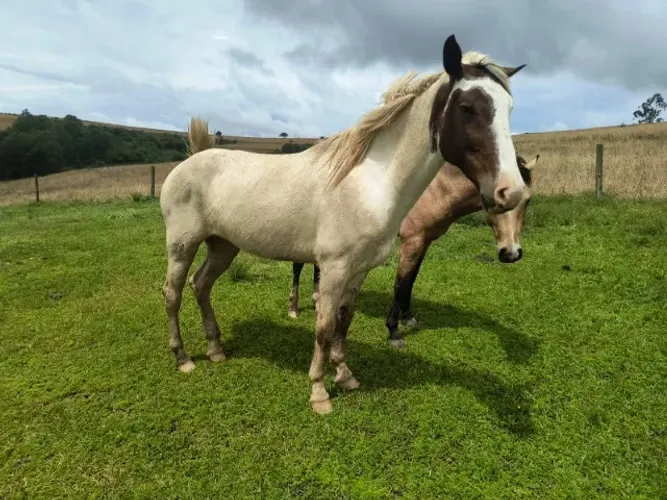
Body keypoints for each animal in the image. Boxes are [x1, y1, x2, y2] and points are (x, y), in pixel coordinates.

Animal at [288, 154, 540, 349]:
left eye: (528, 200)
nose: (511, 253)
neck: (436, 189)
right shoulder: (411, 241)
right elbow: (400, 284)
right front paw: (393, 332)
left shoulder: (424, 241)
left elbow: (412, 279)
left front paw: (408, 318)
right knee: (298, 266)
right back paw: (294, 309)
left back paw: (317, 301)